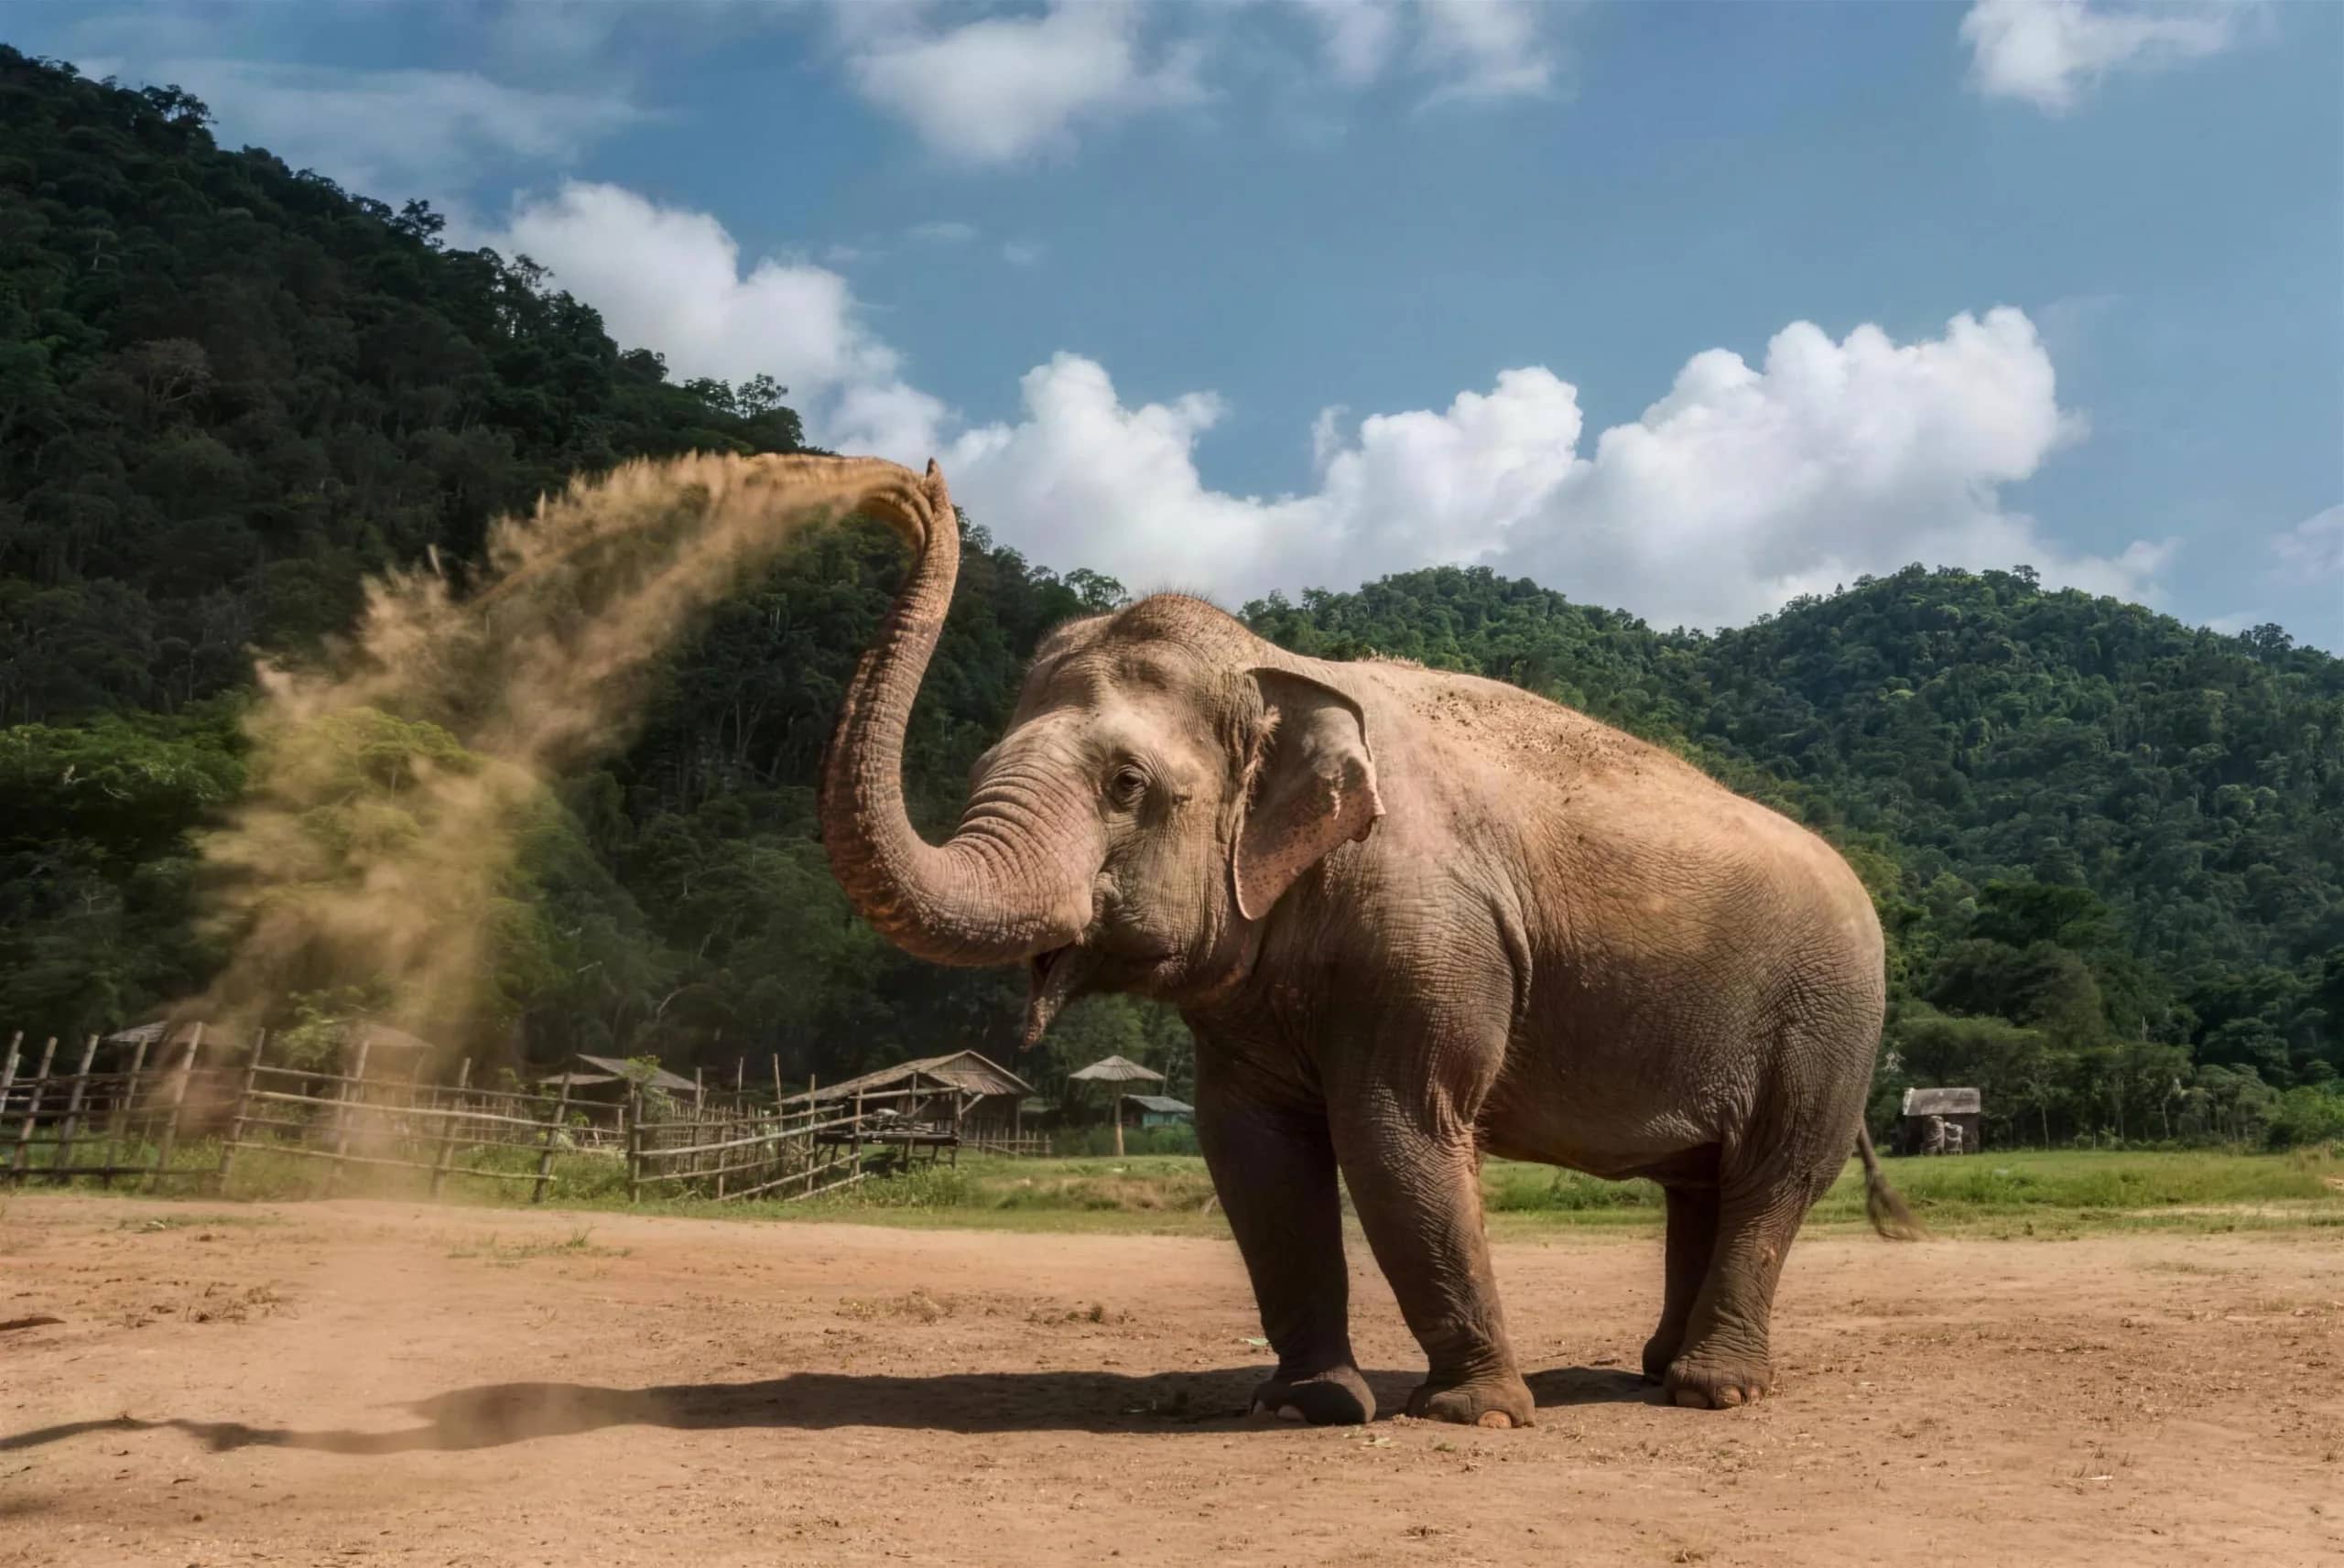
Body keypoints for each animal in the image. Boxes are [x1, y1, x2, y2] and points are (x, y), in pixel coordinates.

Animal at [814, 456, 1919, 1428]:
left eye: (1126, 784)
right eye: (980, 767)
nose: (915, 488)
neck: (1276, 669)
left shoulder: (1433, 935)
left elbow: (1397, 1134)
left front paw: (1475, 1413)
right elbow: (1251, 1150)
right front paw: (1309, 1404)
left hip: (1828, 1022)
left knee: (1774, 1175)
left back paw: (1711, 1390)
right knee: (1702, 1182)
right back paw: (1655, 1371)